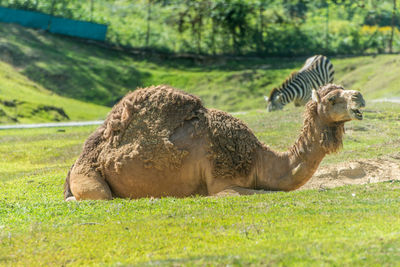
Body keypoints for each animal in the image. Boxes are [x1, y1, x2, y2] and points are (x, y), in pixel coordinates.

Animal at [63, 84, 366, 201]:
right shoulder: (223, 184)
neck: (259, 159)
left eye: (344, 88)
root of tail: (77, 161)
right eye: (332, 98)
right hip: (89, 176)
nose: (359, 97)